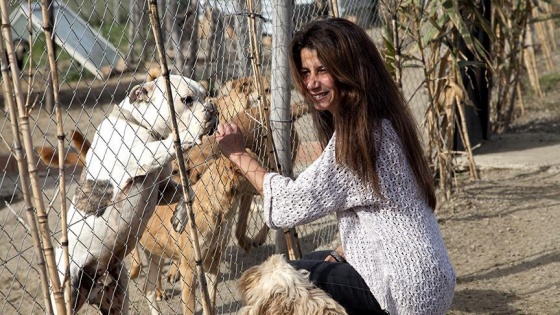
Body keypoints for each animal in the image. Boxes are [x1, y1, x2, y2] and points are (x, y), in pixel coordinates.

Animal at [135, 154, 255, 314]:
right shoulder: (188, 269)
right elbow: (190, 308)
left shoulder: (213, 264)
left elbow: (210, 302)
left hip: (156, 255)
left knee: (148, 289)